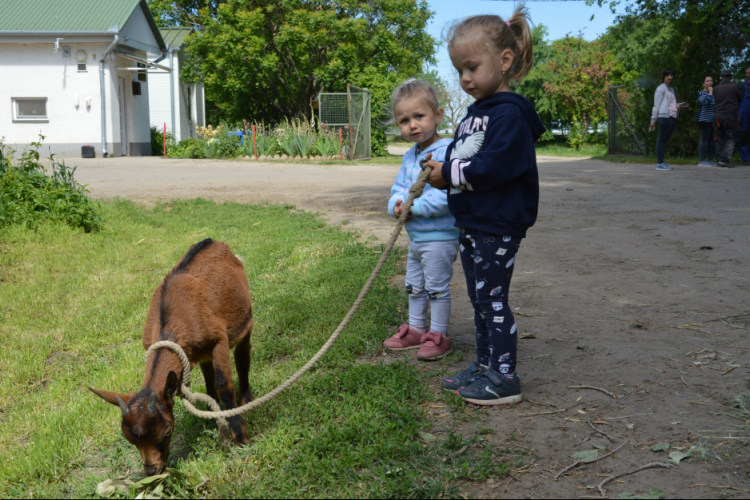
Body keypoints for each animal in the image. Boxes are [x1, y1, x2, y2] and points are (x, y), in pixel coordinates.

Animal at [90, 239, 256, 476]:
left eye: (167, 432)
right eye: (131, 440)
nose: (151, 470)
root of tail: (215, 242)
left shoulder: (219, 341)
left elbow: (224, 385)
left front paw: (242, 439)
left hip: (245, 320)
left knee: (242, 358)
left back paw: (246, 402)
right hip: (204, 352)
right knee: (207, 371)